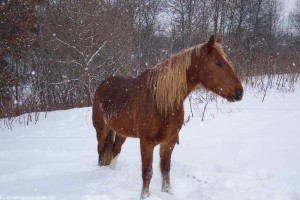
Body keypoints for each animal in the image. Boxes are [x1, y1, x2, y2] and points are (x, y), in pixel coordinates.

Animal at [92, 35, 244, 199]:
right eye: (218, 62)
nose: (239, 92)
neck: (161, 102)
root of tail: (103, 84)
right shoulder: (146, 143)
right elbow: (147, 172)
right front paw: (144, 196)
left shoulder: (169, 141)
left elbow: (165, 170)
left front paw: (168, 193)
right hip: (101, 130)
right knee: (101, 151)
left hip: (121, 132)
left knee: (115, 149)